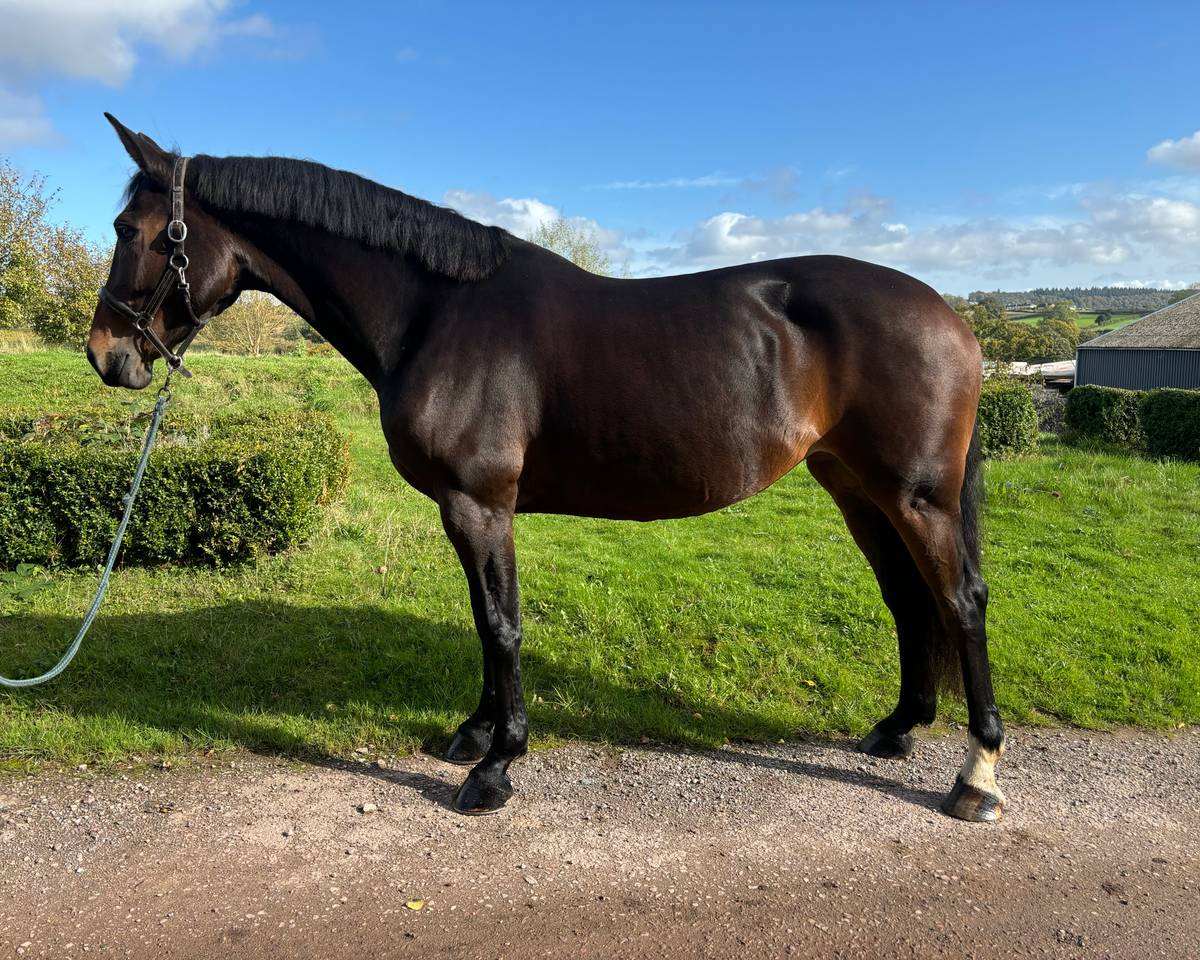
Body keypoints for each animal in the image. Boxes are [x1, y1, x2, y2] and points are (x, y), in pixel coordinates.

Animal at [88, 115, 1007, 822]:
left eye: (132, 232)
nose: (105, 355)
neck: (436, 314)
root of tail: (950, 318)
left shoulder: (479, 503)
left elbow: (502, 624)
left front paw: (495, 768)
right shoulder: (464, 510)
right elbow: (481, 617)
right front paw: (473, 732)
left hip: (917, 496)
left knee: (960, 601)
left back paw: (976, 777)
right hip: (854, 486)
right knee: (908, 599)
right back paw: (897, 729)